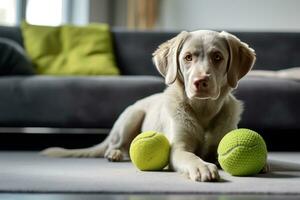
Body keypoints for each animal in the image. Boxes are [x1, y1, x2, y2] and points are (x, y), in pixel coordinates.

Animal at [42, 29, 256, 181]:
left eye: (217, 57)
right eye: (188, 57)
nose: (200, 81)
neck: (203, 111)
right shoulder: (178, 148)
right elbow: (190, 156)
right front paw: (201, 166)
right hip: (131, 117)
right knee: (116, 145)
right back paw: (114, 154)